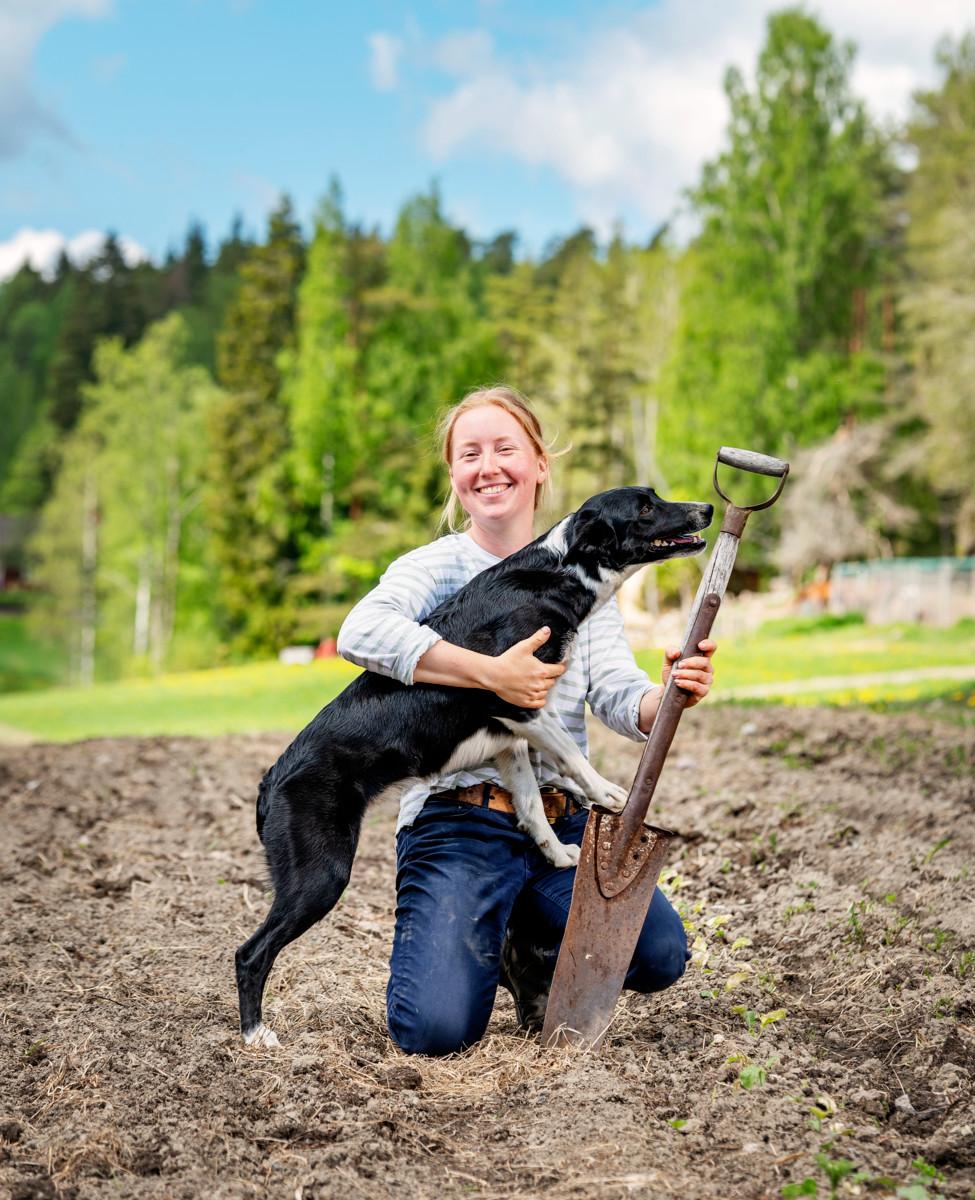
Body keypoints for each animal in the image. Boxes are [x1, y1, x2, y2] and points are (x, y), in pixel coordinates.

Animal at [235, 482, 706, 1046]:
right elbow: (569, 754)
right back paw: (256, 1035)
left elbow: (531, 806)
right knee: (250, 953)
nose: (707, 508)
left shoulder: (508, 738)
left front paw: (559, 856)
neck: (559, 573)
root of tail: (269, 783)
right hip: (321, 874)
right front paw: (608, 793)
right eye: (646, 508)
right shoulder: (520, 701)